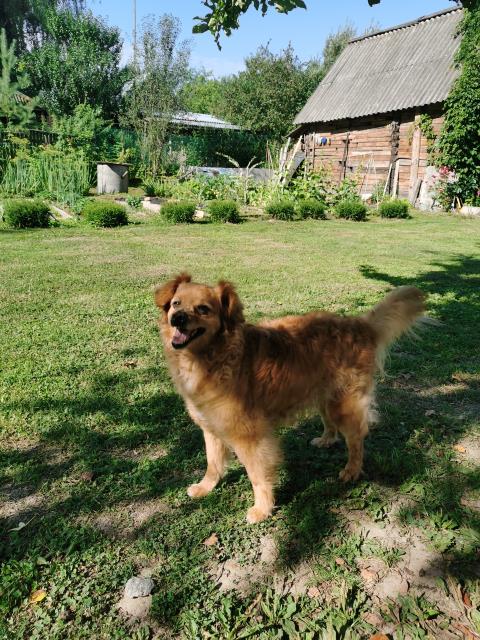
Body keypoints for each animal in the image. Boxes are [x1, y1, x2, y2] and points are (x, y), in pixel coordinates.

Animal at [155, 273, 426, 523]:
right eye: (176, 303)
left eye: (203, 308)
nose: (177, 319)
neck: (213, 356)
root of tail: (360, 325)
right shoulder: (210, 426)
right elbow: (212, 463)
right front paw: (205, 487)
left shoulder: (250, 436)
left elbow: (257, 475)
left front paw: (262, 509)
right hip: (323, 395)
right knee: (331, 424)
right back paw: (326, 440)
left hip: (343, 404)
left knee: (357, 438)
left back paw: (351, 470)